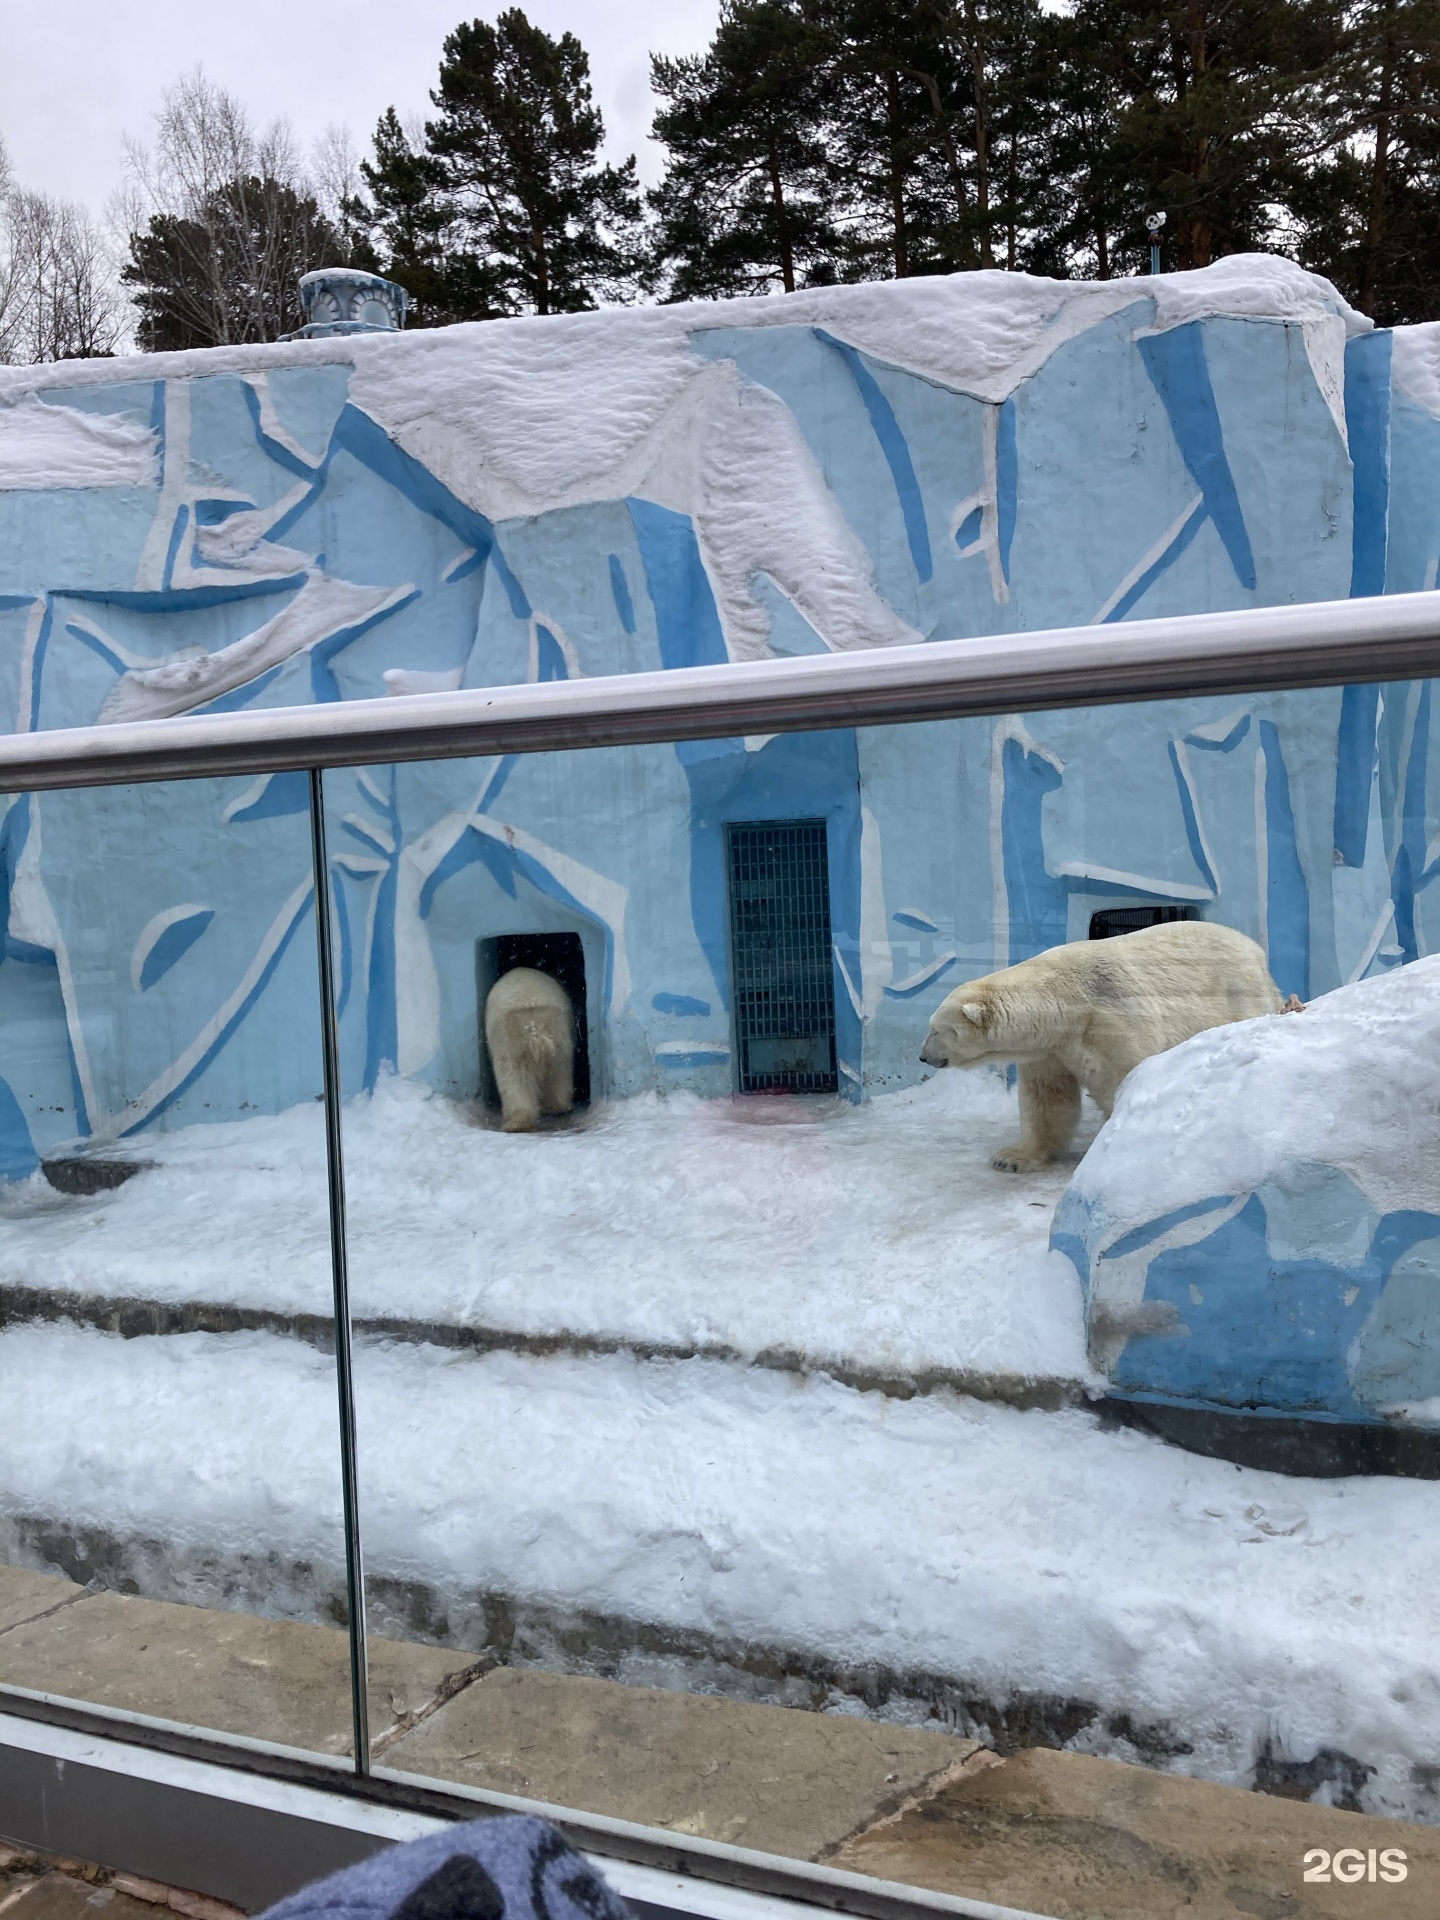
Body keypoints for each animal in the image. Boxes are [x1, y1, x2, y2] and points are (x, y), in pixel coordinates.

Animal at [917, 917, 1282, 1167]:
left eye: (935, 1030)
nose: (923, 1057)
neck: (1065, 1004)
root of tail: (1258, 954)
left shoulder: (1108, 1020)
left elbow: (1123, 1076)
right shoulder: (1048, 1050)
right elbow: (1047, 1099)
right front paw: (1012, 1157)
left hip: (1235, 994)